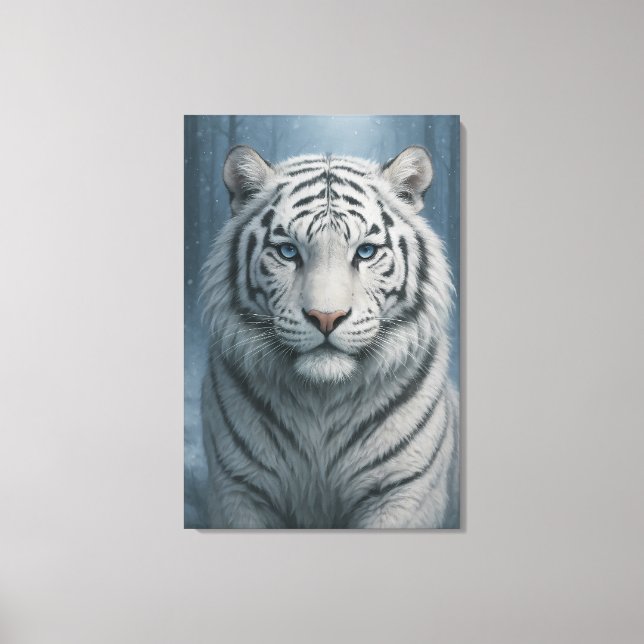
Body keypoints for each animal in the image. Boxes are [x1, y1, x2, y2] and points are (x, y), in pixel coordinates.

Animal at [199, 144, 459, 529]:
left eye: (365, 252)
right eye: (288, 251)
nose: (326, 317)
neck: (322, 398)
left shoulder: (402, 491)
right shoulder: (238, 488)